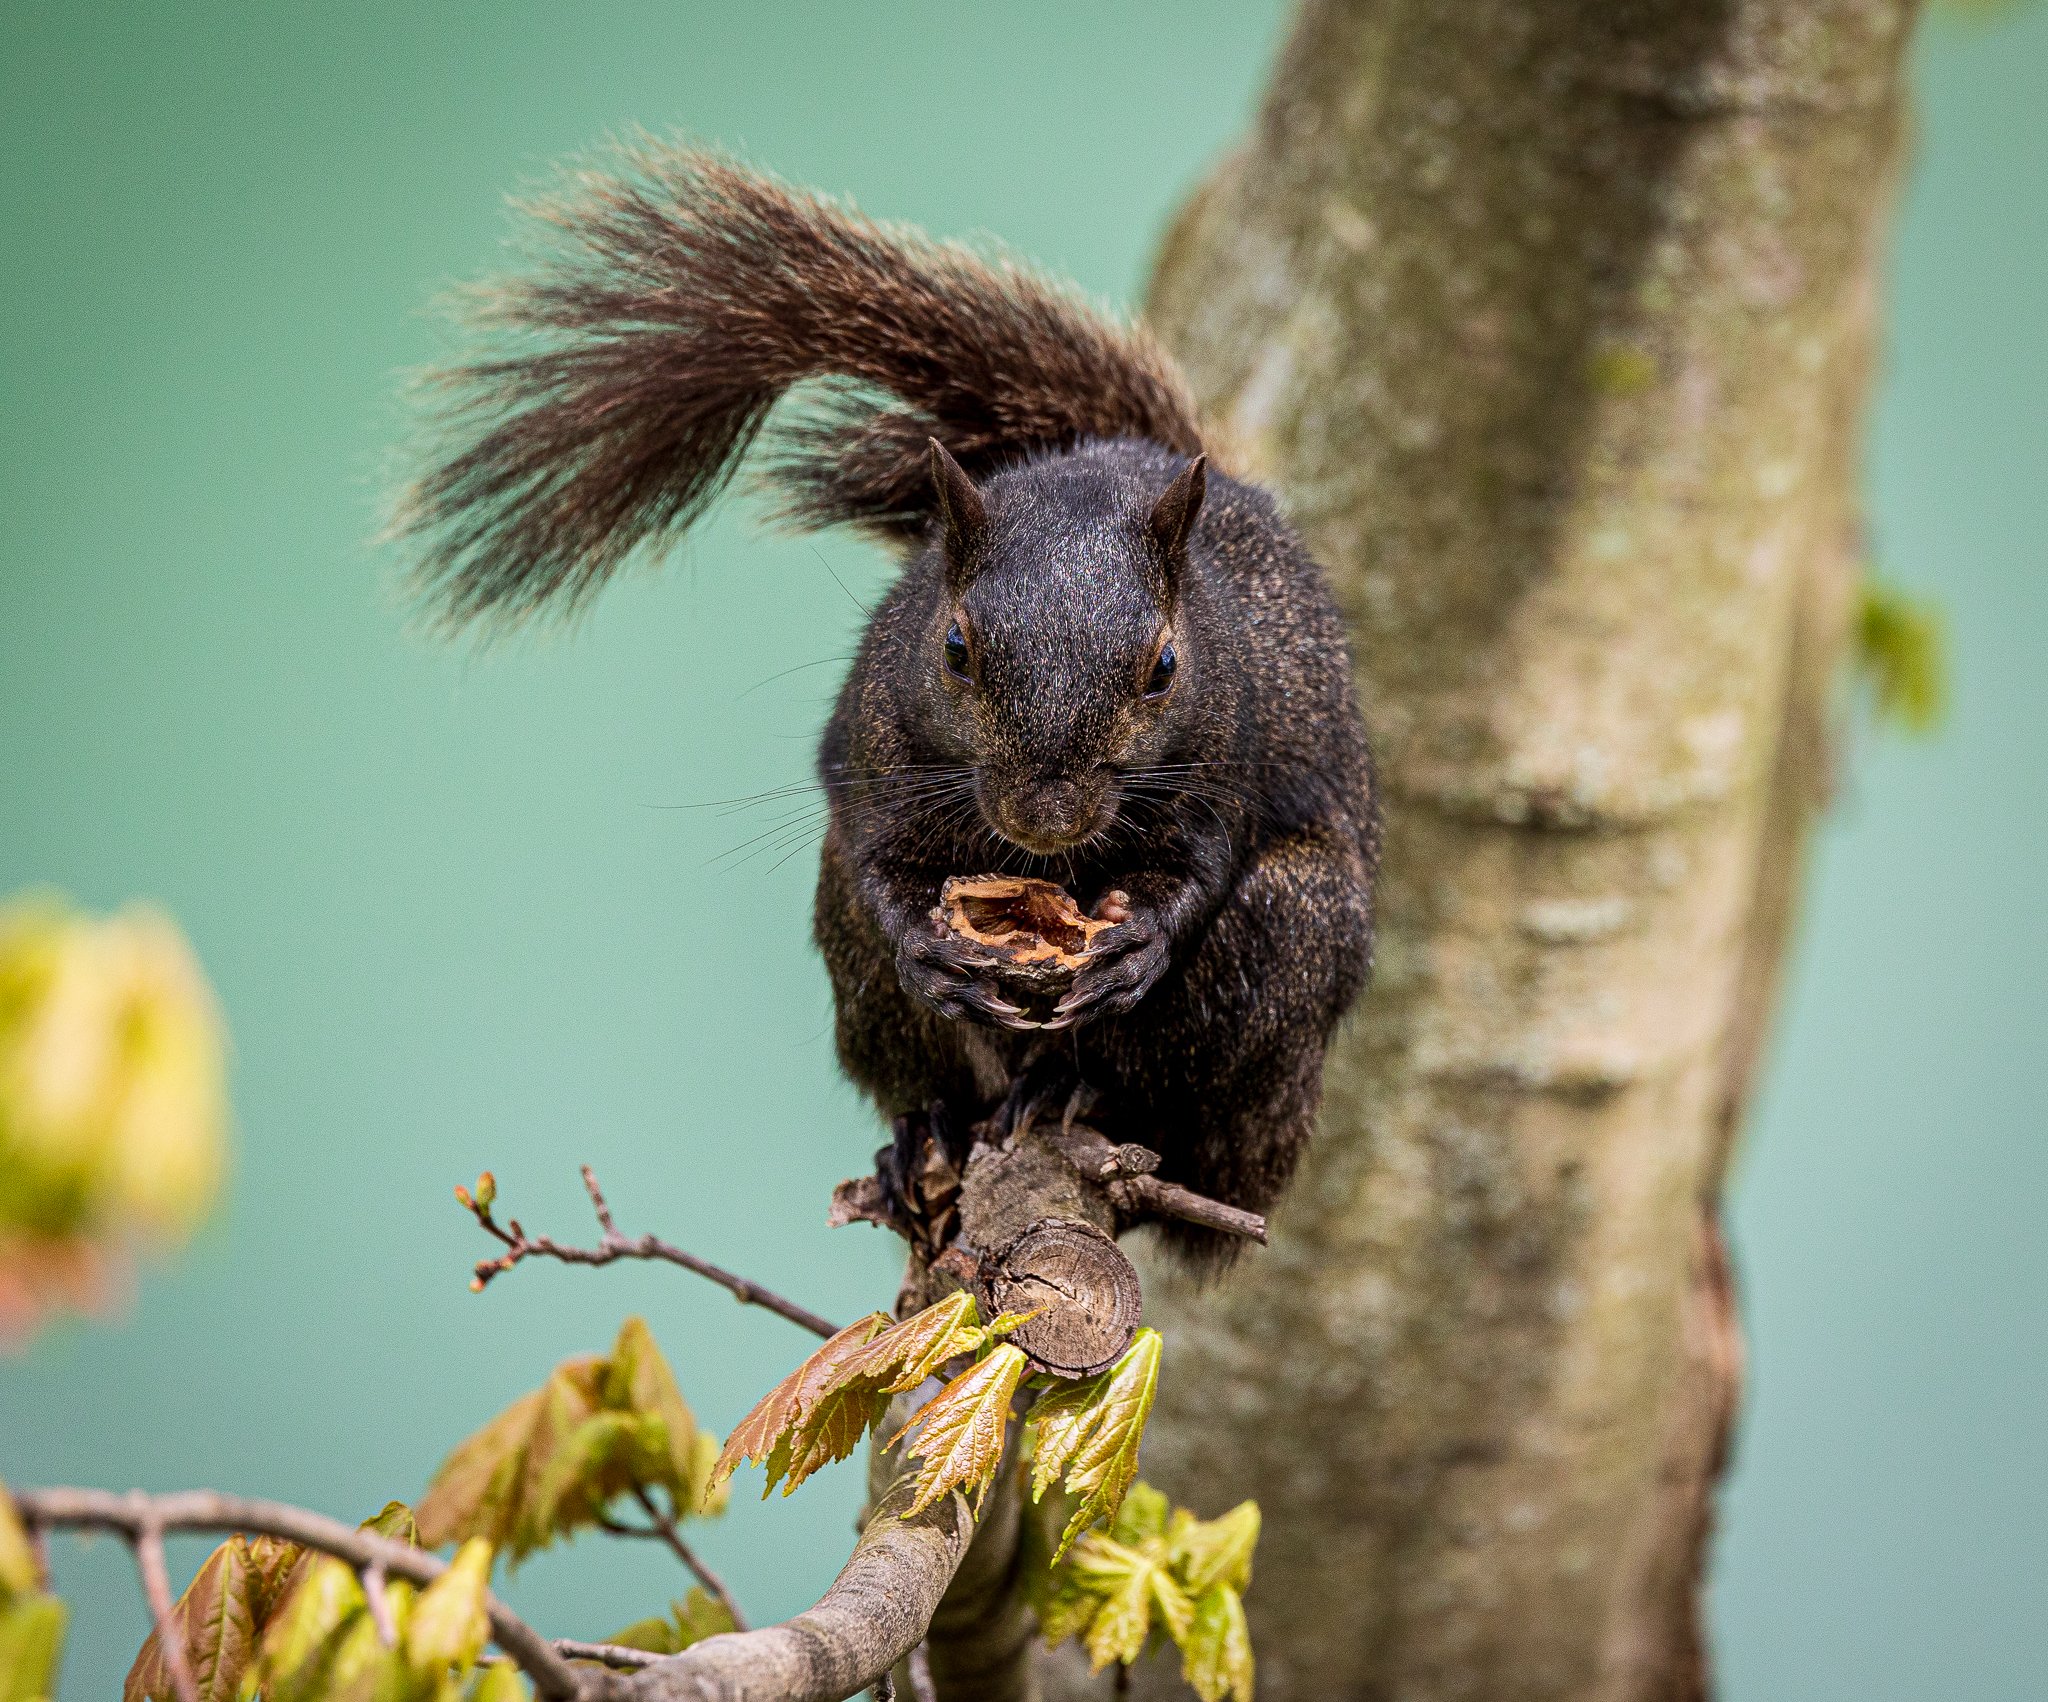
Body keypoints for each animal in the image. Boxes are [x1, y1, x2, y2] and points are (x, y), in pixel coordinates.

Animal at [397, 146, 1376, 1261]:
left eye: (1165, 666)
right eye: (952, 647)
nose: (1046, 817)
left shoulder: (1230, 756)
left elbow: (1206, 863)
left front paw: (1142, 938)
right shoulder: (869, 742)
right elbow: (868, 846)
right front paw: (922, 943)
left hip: (1281, 952)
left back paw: (1076, 1085)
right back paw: (926, 1128)